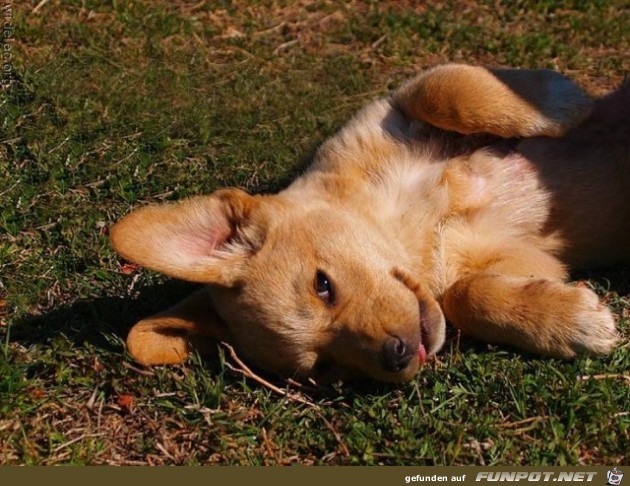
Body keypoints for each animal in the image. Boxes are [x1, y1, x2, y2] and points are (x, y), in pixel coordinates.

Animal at [110, 63, 628, 384]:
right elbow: (466, 295)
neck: (416, 229)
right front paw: (570, 322)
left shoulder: (391, 109)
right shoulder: (529, 258)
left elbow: (448, 89)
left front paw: (558, 100)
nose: (395, 357)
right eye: (325, 367)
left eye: (323, 285)